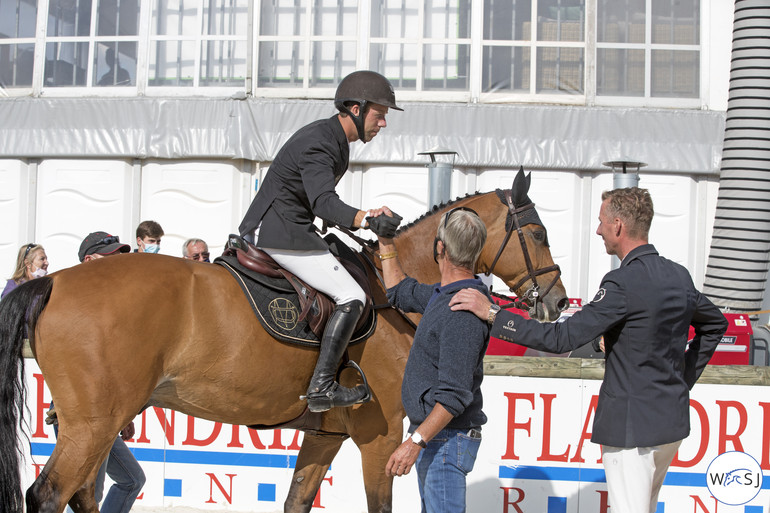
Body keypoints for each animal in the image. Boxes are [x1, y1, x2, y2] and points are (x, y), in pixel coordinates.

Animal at [0, 169, 564, 512]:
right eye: (538, 234)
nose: (558, 302)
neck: (392, 290)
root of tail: (55, 281)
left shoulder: (324, 435)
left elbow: (296, 500)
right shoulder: (380, 438)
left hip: (98, 423)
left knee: (78, 494)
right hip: (95, 424)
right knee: (50, 495)